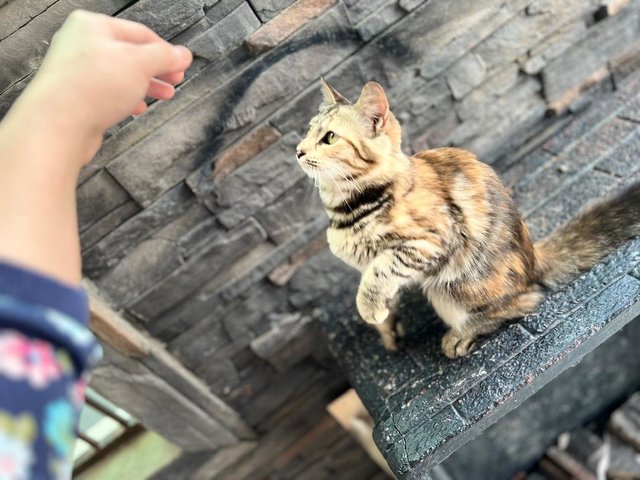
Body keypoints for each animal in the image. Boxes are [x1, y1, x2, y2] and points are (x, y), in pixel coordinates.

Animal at [296, 78, 640, 356]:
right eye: (308, 131)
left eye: (329, 137)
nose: (298, 150)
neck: (347, 209)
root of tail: (533, 259)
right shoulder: (370, 262)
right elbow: (381, 287)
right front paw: (388, 328)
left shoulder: (429, 241)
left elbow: (379, 273)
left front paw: (369, 309)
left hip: (450, 288)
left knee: (525, 301)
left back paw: (461, 334)